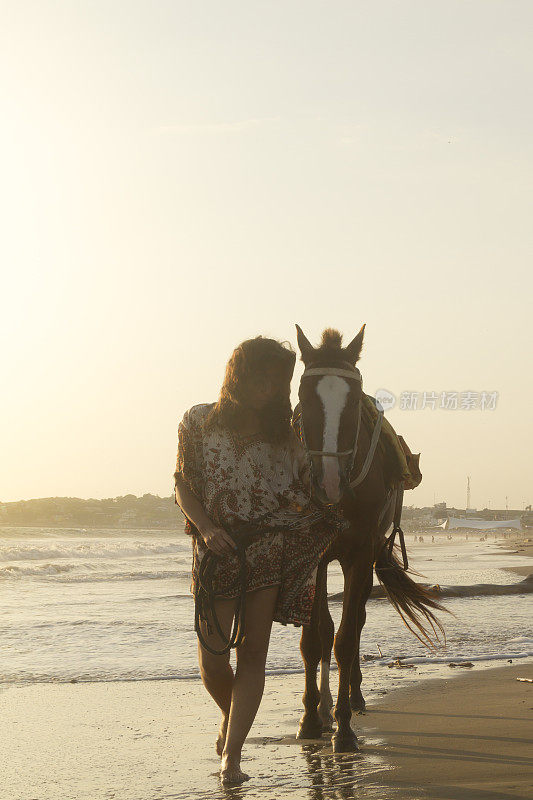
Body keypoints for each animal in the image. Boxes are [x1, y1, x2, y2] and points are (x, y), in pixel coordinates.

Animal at [290, 324, 444, 752]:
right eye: (302, 396)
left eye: (353, 401)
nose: (328, 482)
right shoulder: (313, 555)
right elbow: (315, 638)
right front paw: (311, 718)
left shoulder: (360, 554)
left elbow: (345, 638)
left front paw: (343, 728)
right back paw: (324, 706)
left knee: (355, 622)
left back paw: (353, 698)